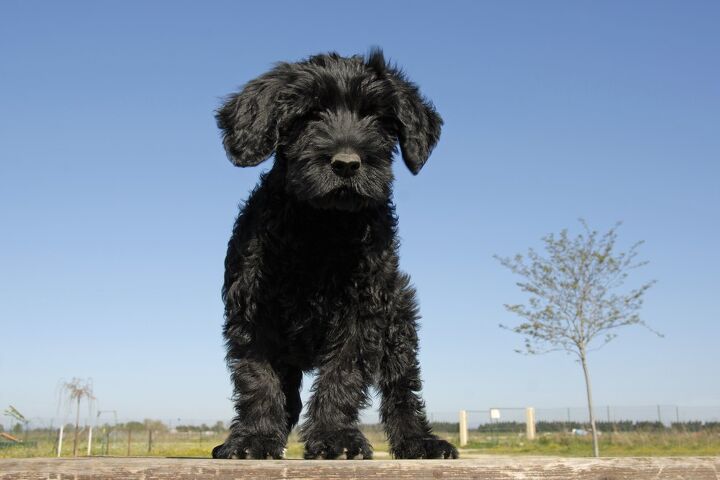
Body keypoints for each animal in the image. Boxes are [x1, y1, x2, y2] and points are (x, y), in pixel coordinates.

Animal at [211, 49, 456, 462]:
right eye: (308, 114)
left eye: (377, 117)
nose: (346, 163)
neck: (322, 227)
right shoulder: (253, 312)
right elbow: (258, 378)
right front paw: (254, 439)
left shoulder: (363, 312)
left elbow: (343, 375)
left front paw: (335, 438)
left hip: (399, 321)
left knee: (402, 389)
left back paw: (419, 441)